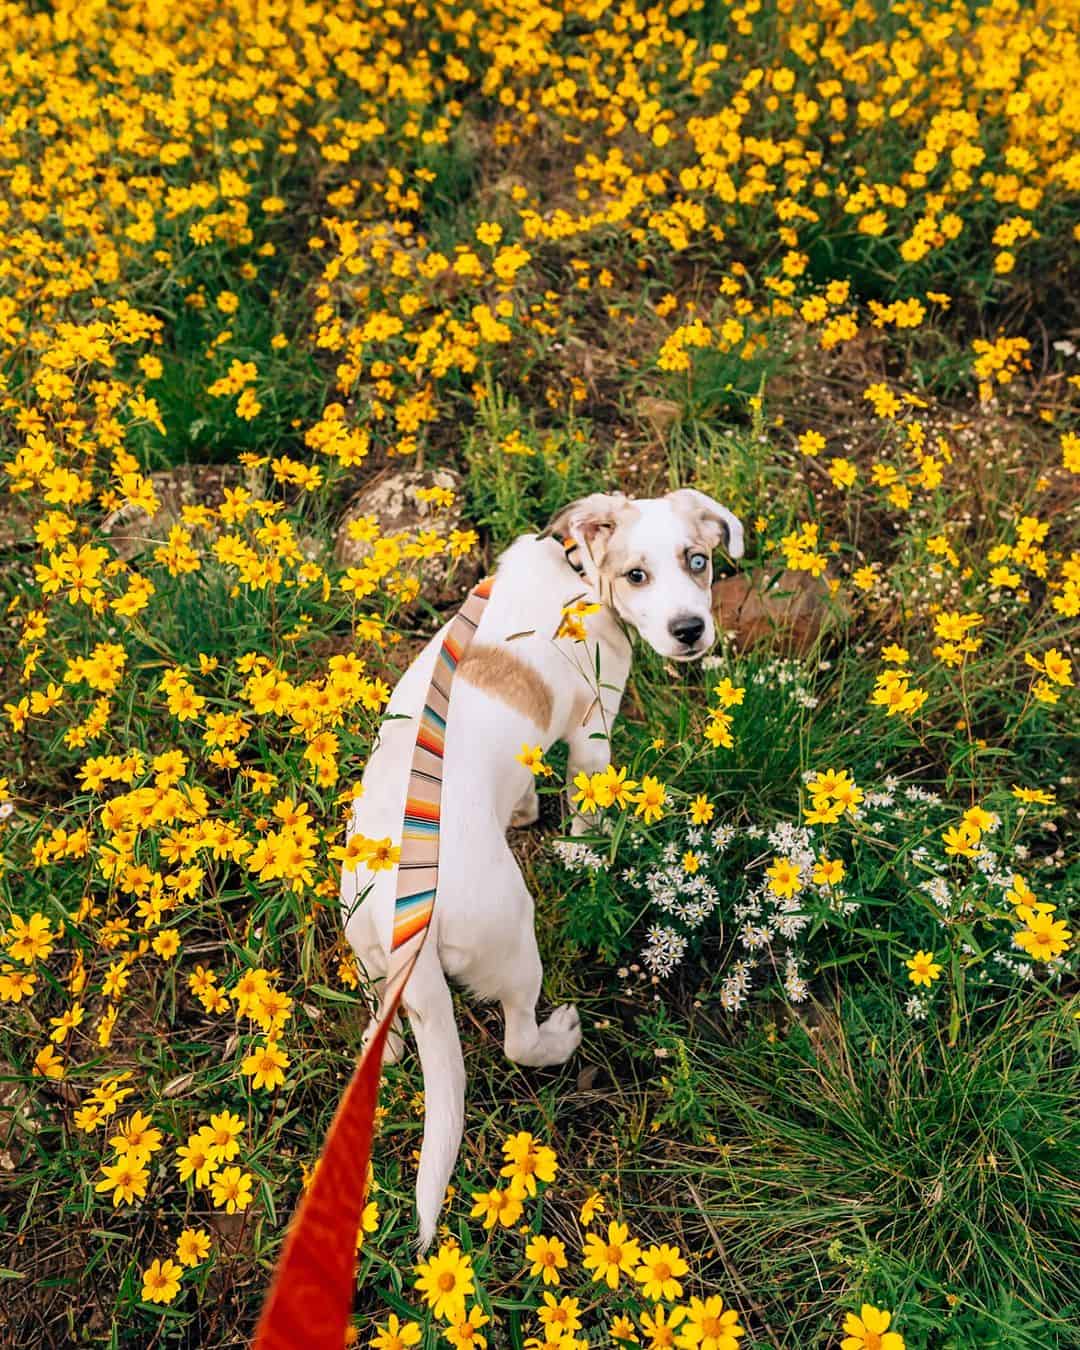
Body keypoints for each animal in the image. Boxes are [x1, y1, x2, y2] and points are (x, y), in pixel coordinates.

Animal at [340, 486, 745, 1242]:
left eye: (698, 561)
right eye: (637, 576)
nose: (690, 630)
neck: (576, 571)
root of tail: (405, 919)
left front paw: (526, 810)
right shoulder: (594, 727)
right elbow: (589, 807)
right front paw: (585, 853)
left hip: (373, 960)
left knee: (389, 1021)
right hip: (514, 940)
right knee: (517, 1040)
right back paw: (559, 1039)